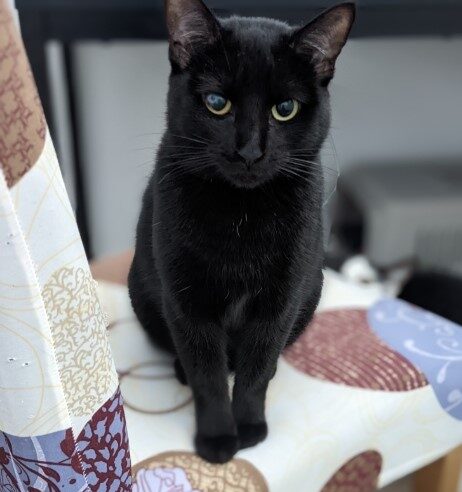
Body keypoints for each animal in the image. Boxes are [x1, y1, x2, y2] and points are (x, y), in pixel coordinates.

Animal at [128, 0, 355, 463]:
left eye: (285, 108)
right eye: (217, 102)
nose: (250, 151)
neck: (241, 216)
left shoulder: (279, 303)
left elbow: (256, 372)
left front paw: (249, 427)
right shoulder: (188, 304)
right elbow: (208, 376)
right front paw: (217, 439)